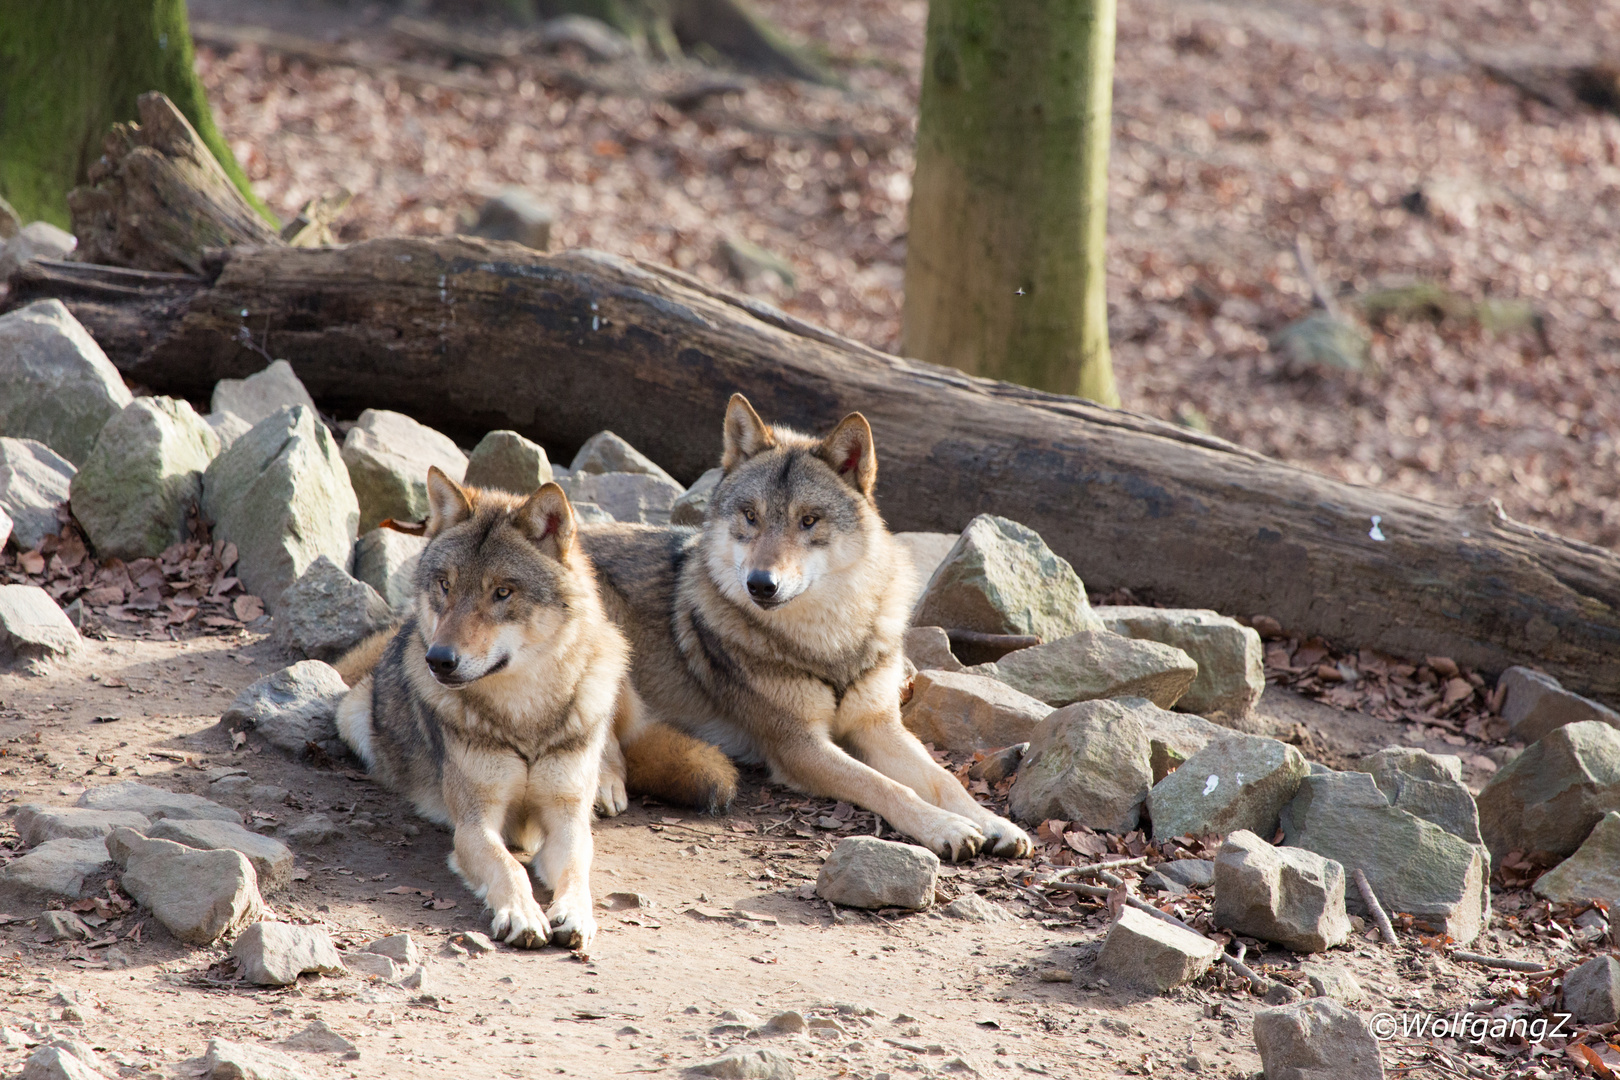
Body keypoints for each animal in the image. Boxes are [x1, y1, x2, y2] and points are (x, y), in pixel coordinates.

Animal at [335, 469, 735, 952]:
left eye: (502, 592)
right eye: (445, 585)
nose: (439, 660)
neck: (524, 716)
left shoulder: (565, 821)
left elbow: (578, 869)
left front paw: (576, 913)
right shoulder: (473, 825)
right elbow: (509, 867)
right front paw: (523, 914)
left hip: (612, 661)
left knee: (615, 744)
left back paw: (606, 786)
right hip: (350, 716)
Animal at [583, 396, 1030, 861]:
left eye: (809, 520)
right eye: (751, 516)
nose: (761, 583)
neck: (828, 641)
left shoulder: (878, 725)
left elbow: (944, 779)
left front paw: (995, 823)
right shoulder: (799, 745)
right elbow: (887, 786)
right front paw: (946, 827)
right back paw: (605, 786)